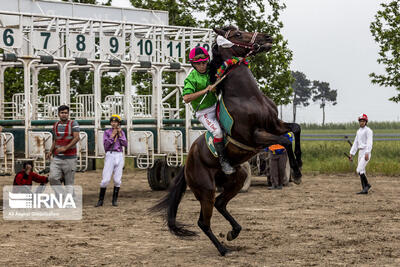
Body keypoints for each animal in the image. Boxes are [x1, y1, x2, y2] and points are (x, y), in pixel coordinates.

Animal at [152, 25, 302, 258]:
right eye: (238, 34)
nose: (267, 37)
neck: (248, 97)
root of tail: (187, 163)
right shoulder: (256, 136)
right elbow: (284, 141)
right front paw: (295, 173)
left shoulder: (275, 124)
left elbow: (295, 130)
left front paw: (298, 166)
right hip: (206, 190)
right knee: (203, 221)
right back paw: (223, 249)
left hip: (237, 179)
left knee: (221, 204)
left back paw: (234, 232)